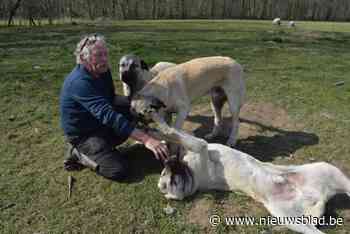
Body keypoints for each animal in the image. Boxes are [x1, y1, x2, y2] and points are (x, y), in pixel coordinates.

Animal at [154, 124, 350, 234]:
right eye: (171, 183)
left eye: (167, 177)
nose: (169, 162)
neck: (192, 175)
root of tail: (318, 197)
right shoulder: (200, 145)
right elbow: (177, 133)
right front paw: (161, 125)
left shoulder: (198, 147)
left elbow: (177, 136)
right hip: (288, 217)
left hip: (333, 174)